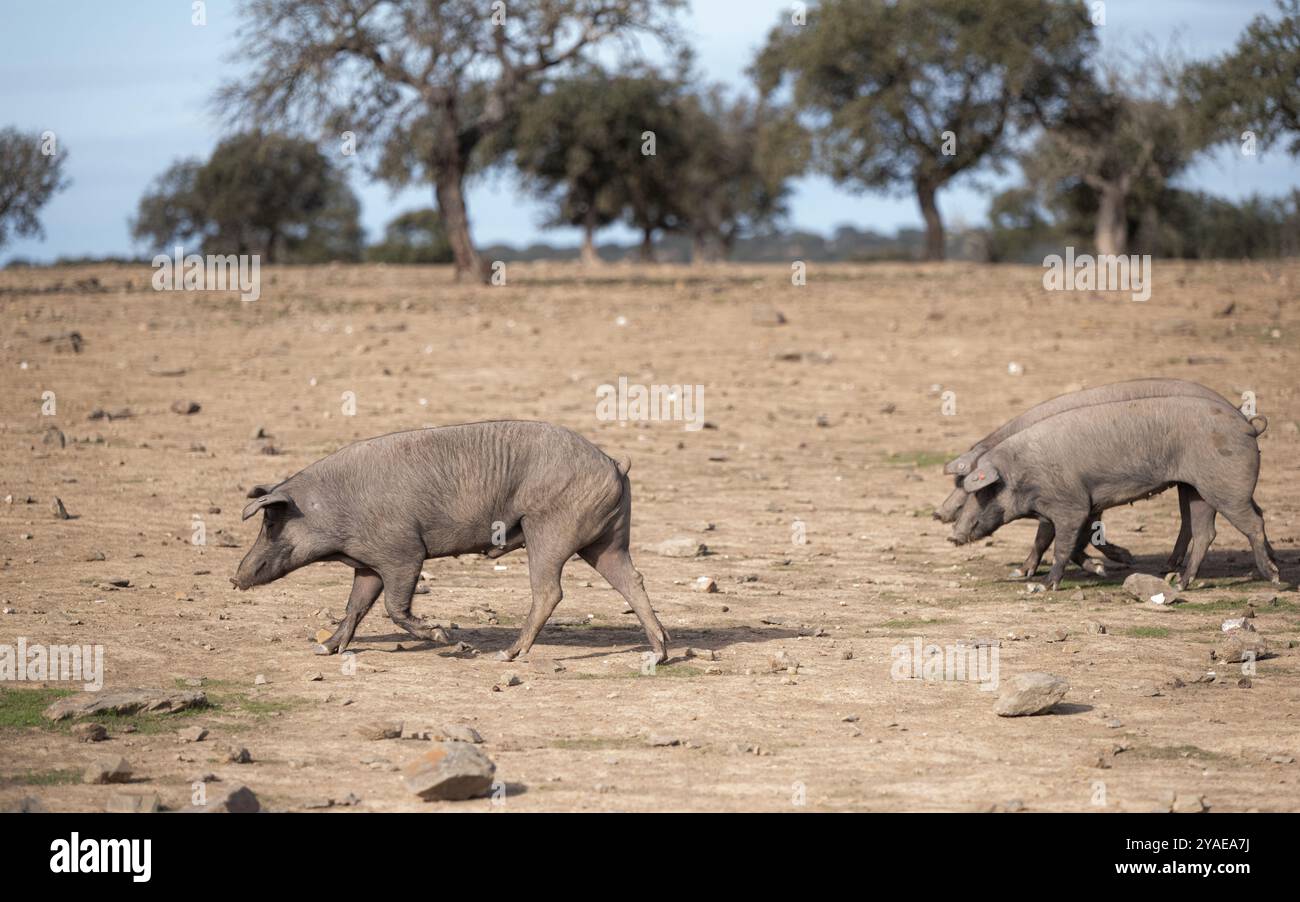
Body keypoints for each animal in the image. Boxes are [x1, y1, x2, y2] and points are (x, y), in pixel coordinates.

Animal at [231, 421, 670, 665]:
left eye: (270, 521)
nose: (235, 579)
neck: (333, 509)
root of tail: (614, 463)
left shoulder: (403, 552)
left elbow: (393, 607)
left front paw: (447, 639)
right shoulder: (368, 564)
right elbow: (355, 606)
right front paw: (325, 649)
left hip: (549, 529)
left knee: (550, 591)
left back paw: (505, 655)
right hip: (608, 540)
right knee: (632, 580)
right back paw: (659, 653)